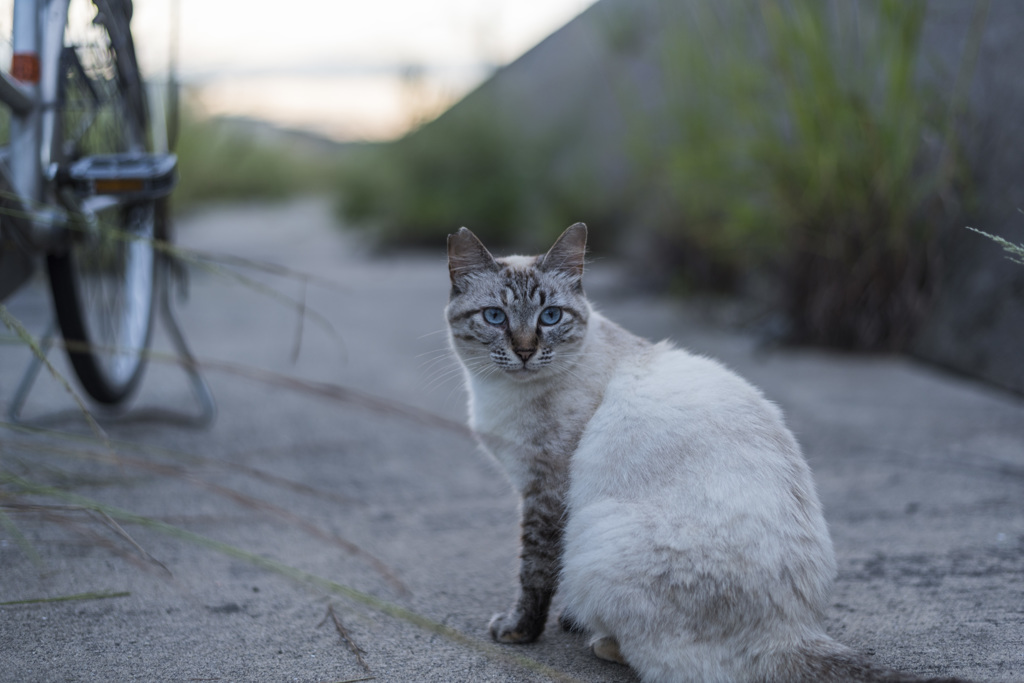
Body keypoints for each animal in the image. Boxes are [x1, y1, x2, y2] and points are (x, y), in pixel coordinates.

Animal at [444, 225, 962, 683]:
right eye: (495, 317)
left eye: (550, 317)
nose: (525, 351)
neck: (502, 394)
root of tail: (790, 631)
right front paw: (562, 621)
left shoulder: (546, 490)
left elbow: (535, 571)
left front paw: (520, 631)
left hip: (595, 535)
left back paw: (604, 641)